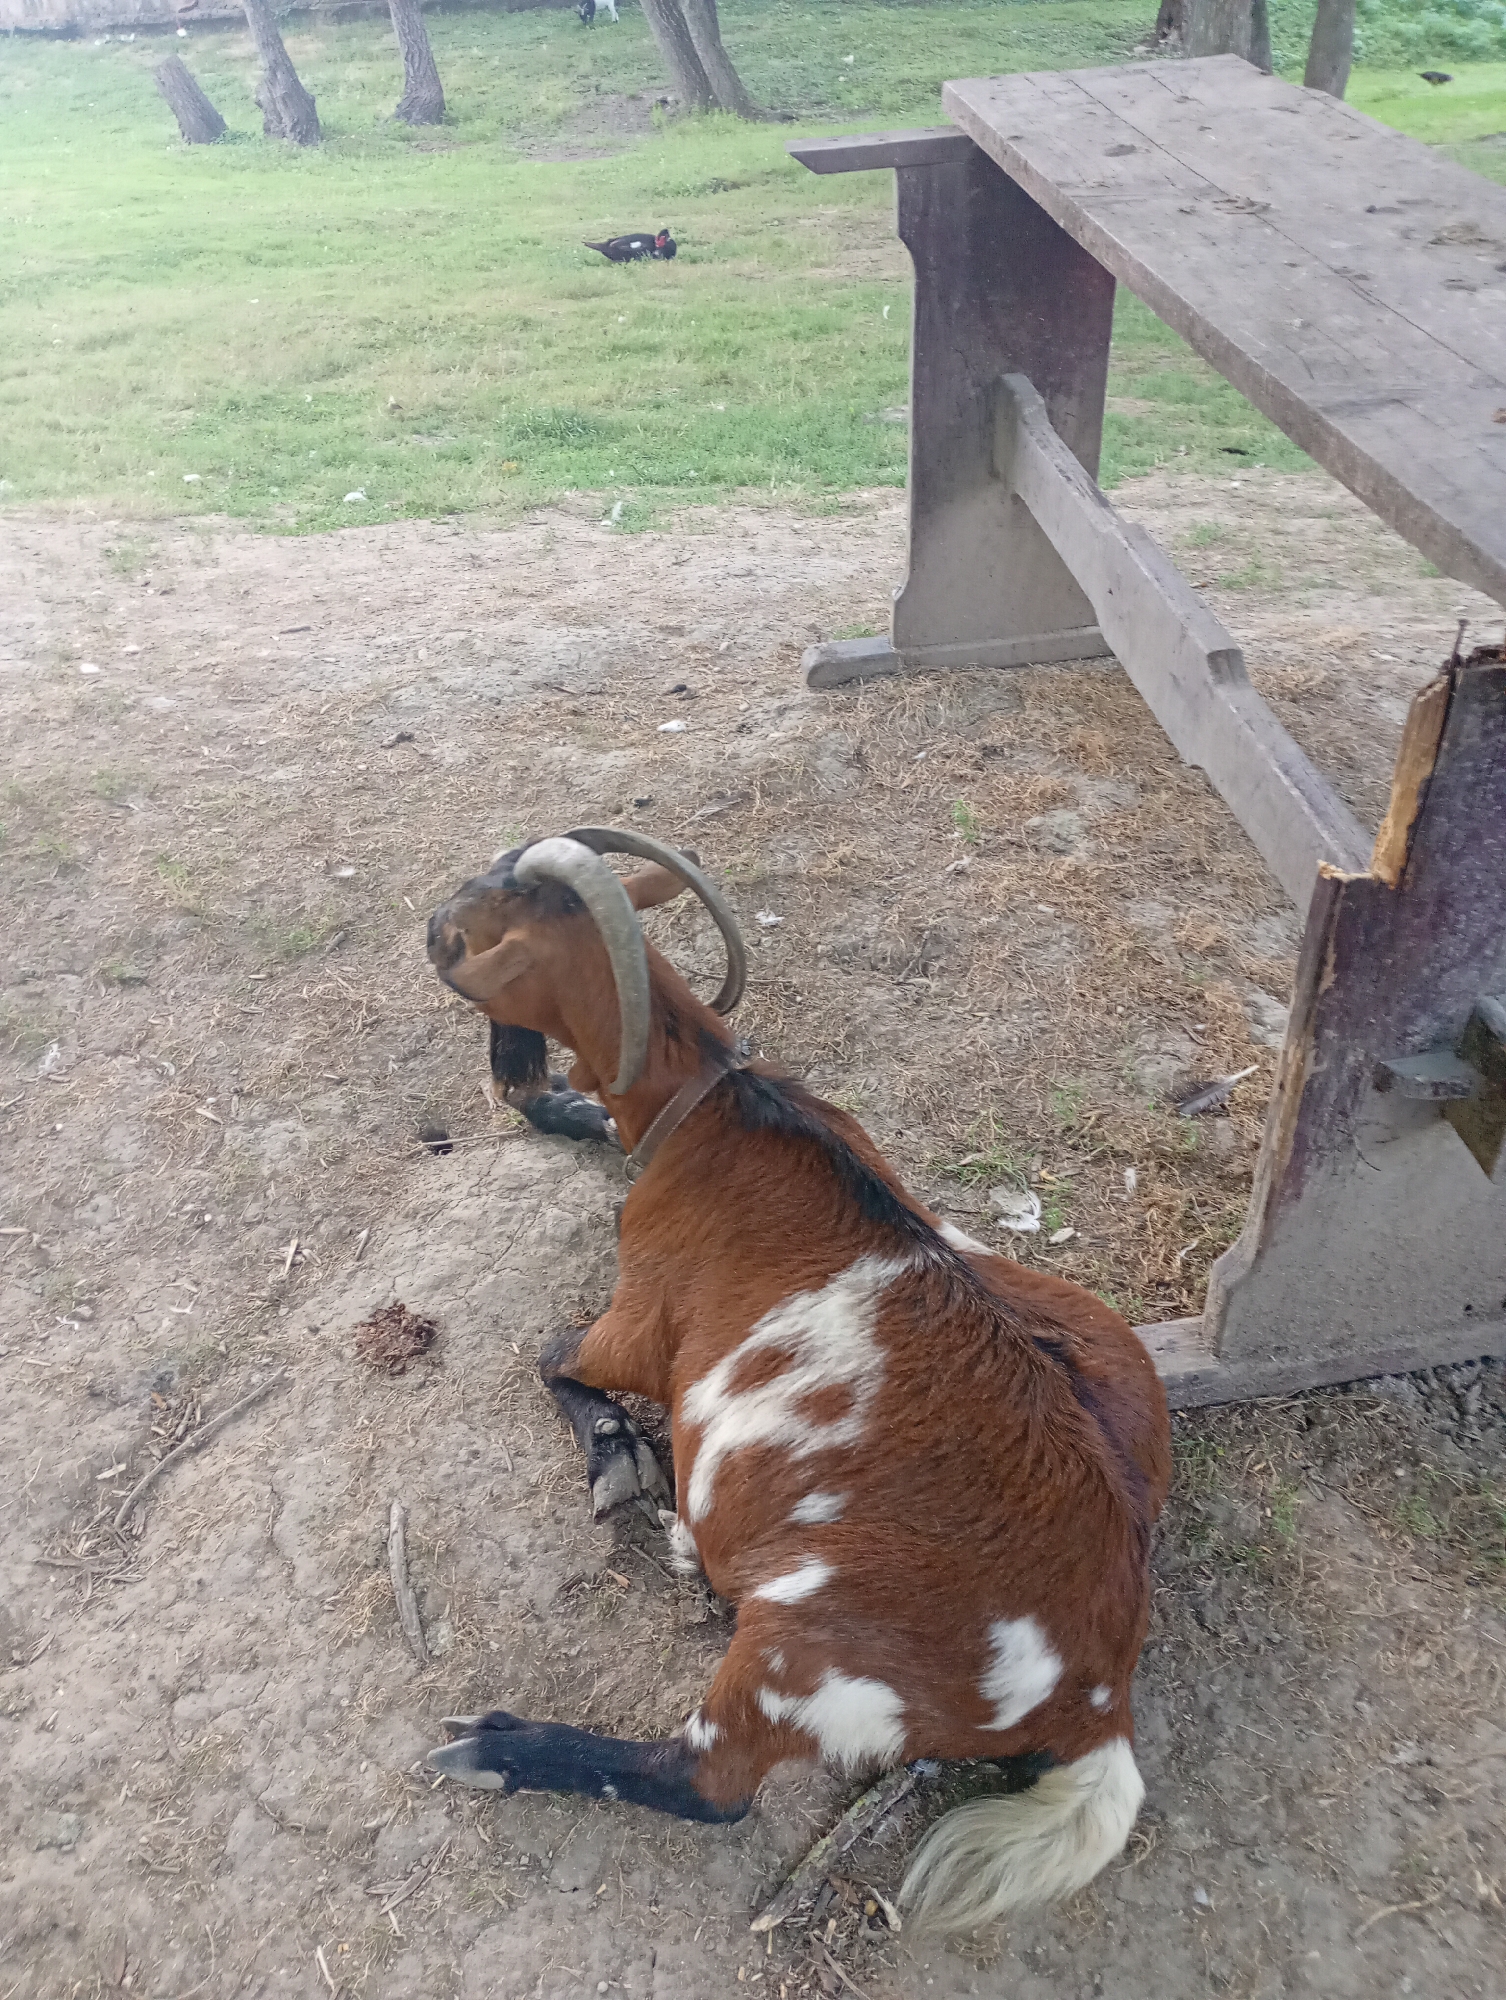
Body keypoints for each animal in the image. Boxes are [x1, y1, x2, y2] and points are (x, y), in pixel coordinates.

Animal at [424, 829, 1171, 1932]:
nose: (431, 922)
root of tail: (1100, 1688)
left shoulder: (637, 1325)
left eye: (474, 930)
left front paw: (617, 1460)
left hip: (805, 1646)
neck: (714, 1104)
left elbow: (550, 1352)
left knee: (710, 1783)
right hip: (1108, 1347)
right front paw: (565, 1106)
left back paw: (498, 1743)